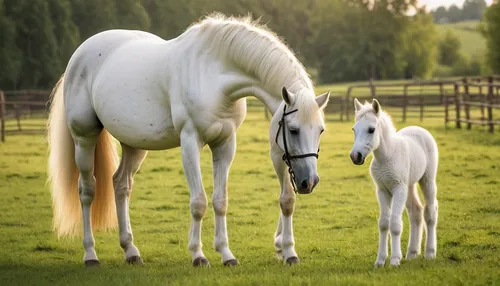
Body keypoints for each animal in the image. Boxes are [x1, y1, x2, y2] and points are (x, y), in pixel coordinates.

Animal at [46, 14, 328, 268]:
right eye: (293, 129)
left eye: (321, 130)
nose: (310, 181)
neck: (213, 73)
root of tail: (79, 55)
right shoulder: (191, 141)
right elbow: (199, 202)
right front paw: (198, 255)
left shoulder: (225, 144)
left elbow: (220, 200)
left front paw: (227, 255)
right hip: (84, 137)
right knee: (87, 191)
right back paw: (90, 254)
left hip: (134, 144)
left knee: (121, 185)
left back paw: (131, 251)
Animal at [348, 99, 438, 268]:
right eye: (354, 129)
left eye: (371, 129)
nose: (355, 156)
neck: (386, 157)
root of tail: (419, 128)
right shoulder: (382, 190)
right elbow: (384, 223)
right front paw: (380, 260)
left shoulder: (398, 189)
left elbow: (395, 224)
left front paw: (395, 259)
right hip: (409, 186)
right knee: (416, 211)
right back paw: (412, 253)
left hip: (427, 180)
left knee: (430, 211)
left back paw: (430, 252)